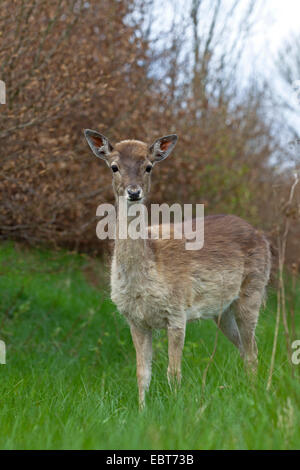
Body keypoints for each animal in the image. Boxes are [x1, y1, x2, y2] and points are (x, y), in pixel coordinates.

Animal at [83, 129, 270, 408]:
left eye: (148, 166)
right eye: (114, 166)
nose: (134, 192)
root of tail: (261, 235)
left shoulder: (177, 311)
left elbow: (174, 372)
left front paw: (175, 409)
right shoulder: (135, 319)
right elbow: (142, 373)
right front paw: (142, 411)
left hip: (253, 292)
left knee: (252, 351)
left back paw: (256, 395)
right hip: (222, 311)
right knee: (246, 347)